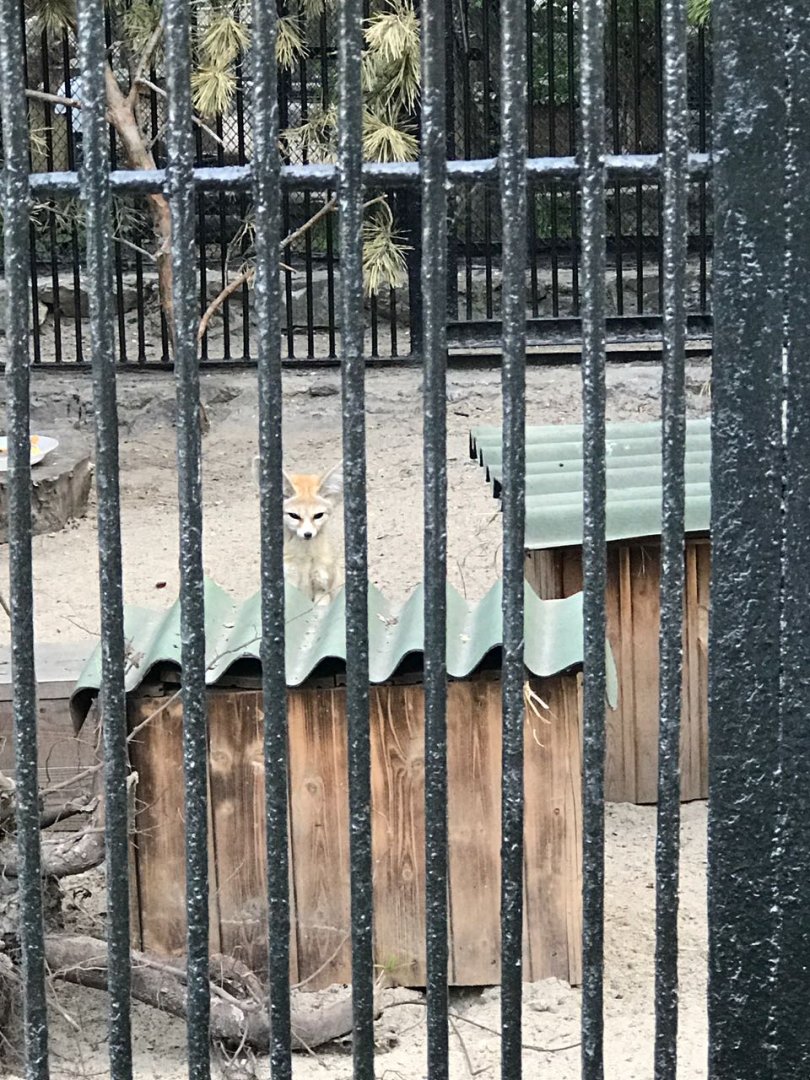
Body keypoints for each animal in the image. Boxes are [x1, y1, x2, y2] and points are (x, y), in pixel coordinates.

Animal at [252, 457, 344, 605]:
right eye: (294, 515)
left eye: (318, 515)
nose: (308, 534)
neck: (304, 557)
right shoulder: (290, 586)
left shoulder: (322, 588)